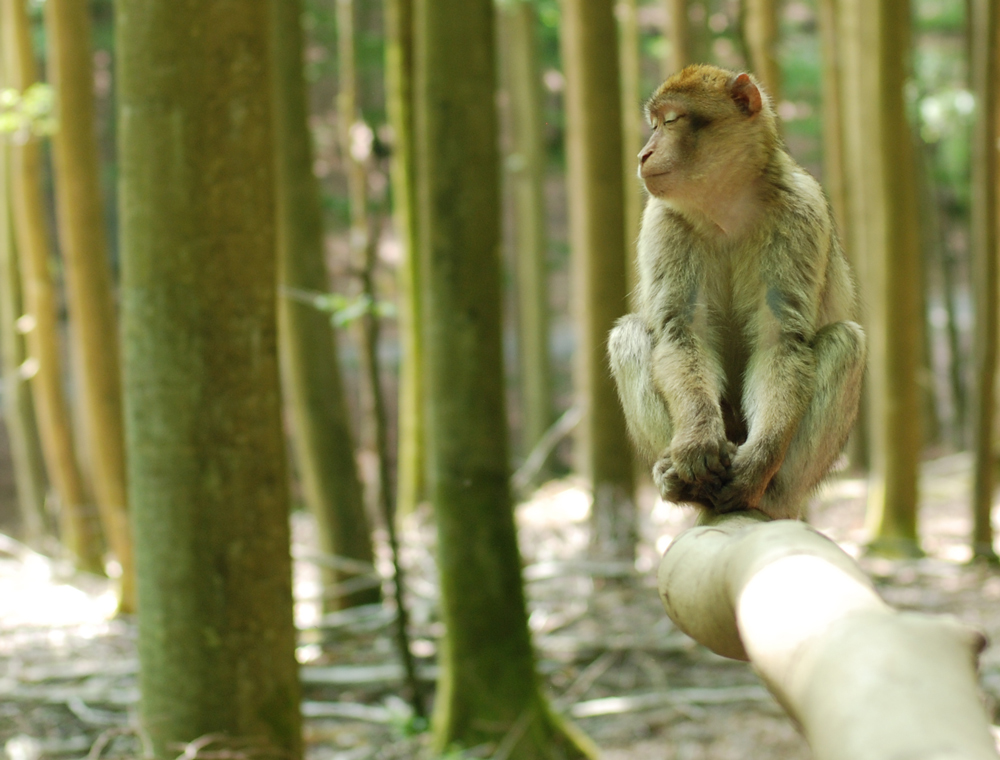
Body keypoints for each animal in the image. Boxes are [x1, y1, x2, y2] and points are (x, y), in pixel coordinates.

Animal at [608, 65, 868, 520]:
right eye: (654, 124)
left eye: (670, 121)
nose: (643, 154)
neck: (725, 207)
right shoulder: (663, 221)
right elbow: (682, 332)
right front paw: (696, 440)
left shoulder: (799, 213)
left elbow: (780, 339)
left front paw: (757, 464)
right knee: (630, 334)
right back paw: (677, 479)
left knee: (845, 342)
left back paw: (767, 491)